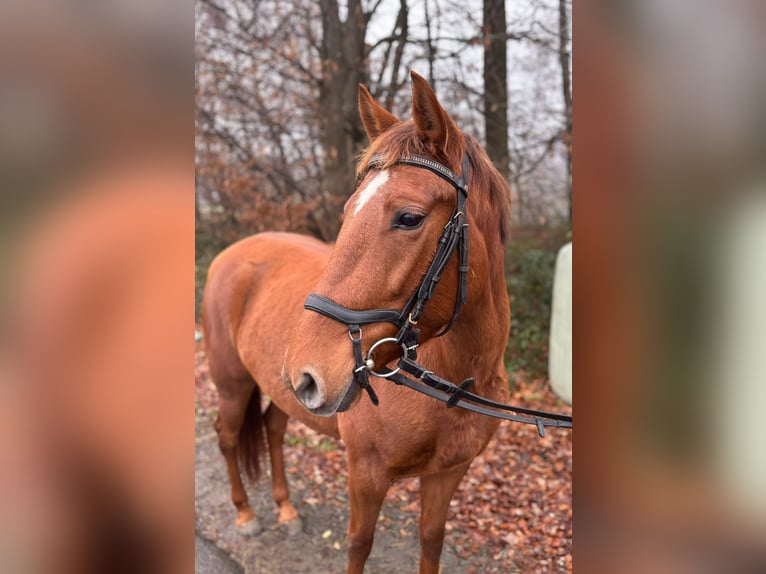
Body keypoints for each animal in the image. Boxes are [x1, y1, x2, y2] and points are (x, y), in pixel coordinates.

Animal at [202, 71, 512, 574]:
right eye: (348, 212)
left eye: (409, 217)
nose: (308, 373)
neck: (452, 378)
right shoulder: (366, 475)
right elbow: (359, 544)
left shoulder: (447, 474)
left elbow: (431, 541)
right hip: (232, 383)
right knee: (228, 437)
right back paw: (247, 514)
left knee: (272, 429)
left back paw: (285, 509)